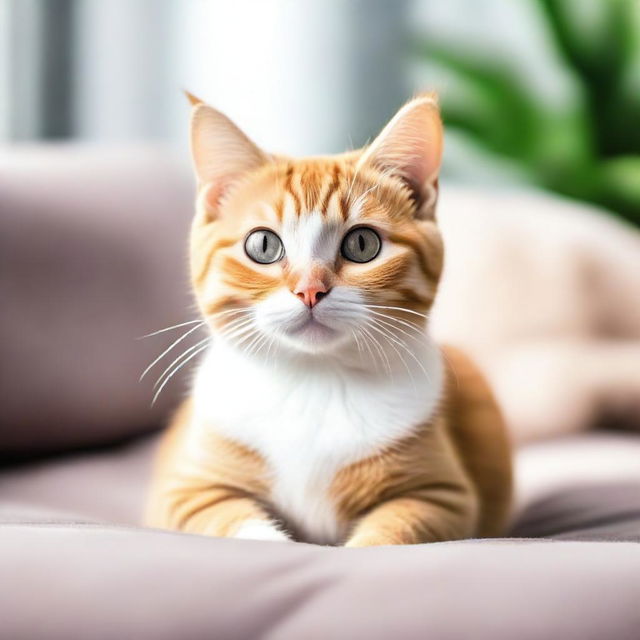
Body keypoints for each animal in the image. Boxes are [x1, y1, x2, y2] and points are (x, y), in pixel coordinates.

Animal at [144, 94, 510, 544]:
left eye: (363, 243)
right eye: (263, 245)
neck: (314, 381)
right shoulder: (184, 491)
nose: (310, 290)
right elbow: (240, 526)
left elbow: (392, 532)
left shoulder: (444, 495)